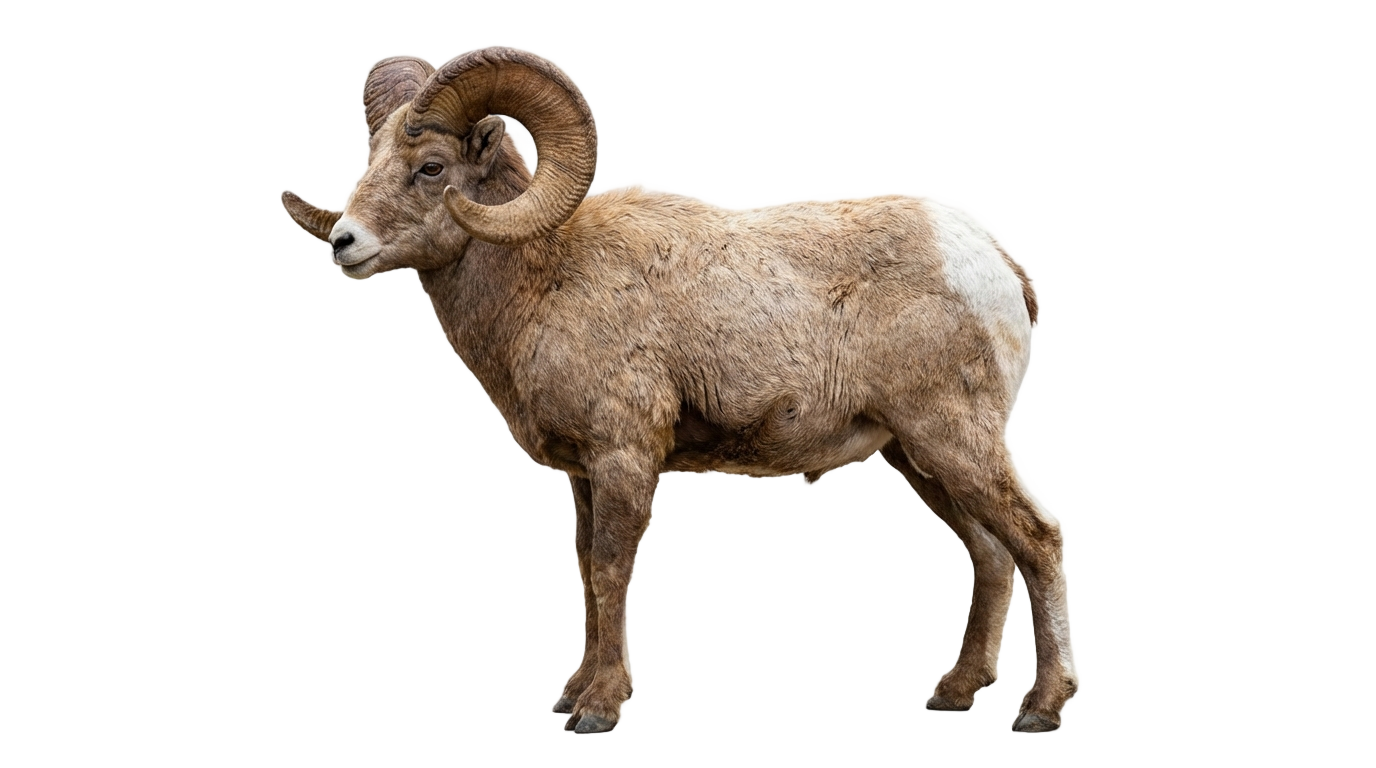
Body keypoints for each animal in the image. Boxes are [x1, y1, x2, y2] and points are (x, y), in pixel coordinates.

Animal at [281, 47, 1075, 733]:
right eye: (373, 161)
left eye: (431, 167)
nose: (343, 242)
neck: (548, 282)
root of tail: (995, 265)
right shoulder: (582, 475)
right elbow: (584, 572)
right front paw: (572, 694)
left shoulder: (625, 458)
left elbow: (610, 572)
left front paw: (597, 710)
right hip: (916, 458)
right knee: (989, 557)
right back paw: (955, 695)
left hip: (953, 443)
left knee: (1035, 543)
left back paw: (1040, 713)